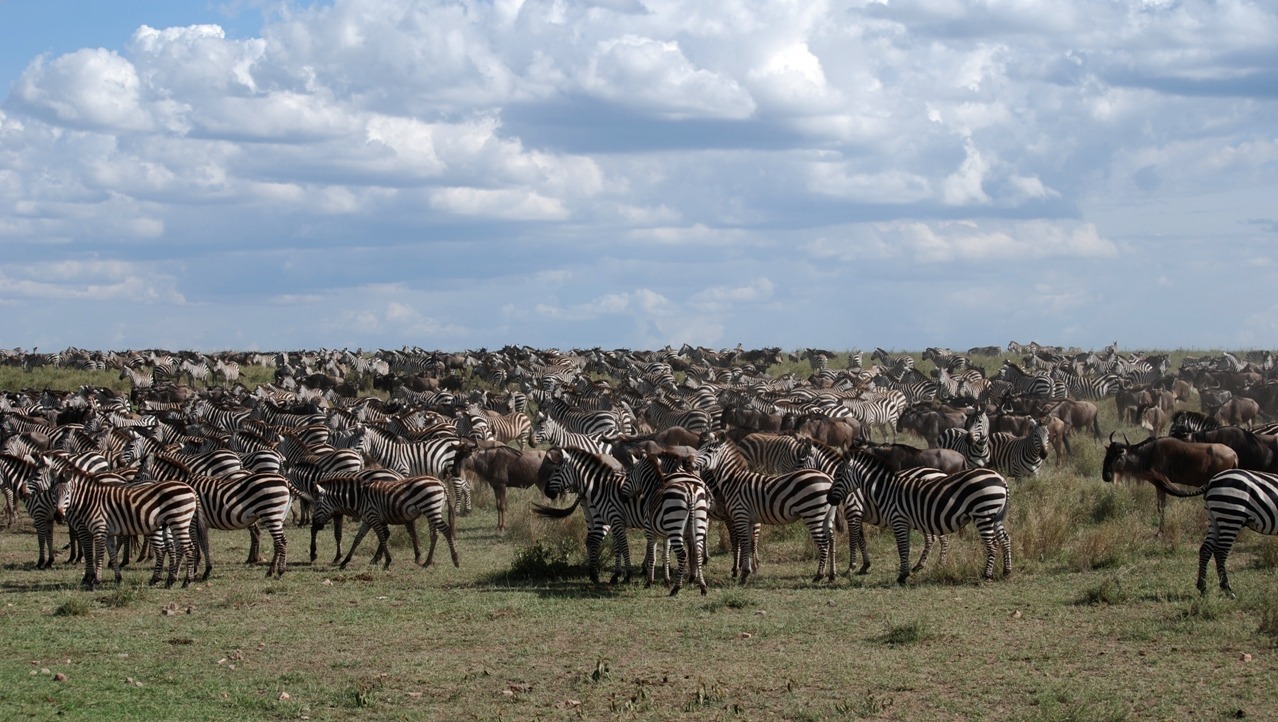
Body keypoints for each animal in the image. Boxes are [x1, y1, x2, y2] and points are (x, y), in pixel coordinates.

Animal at [52, 465, 198, 587]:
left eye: (67, 493)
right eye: (53, 493)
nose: (58, 516)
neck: (91, 501)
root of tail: (190, 488)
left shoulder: (99, 530)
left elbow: (99, 555)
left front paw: (96, 581)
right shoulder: (108, 533)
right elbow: (112, 554)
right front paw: (118, 578)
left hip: (178, 521)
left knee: (189, 548)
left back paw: (187, 581)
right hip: (174, 523)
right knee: (177, 548)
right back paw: (168, 580)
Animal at [700, 437, 838, 582]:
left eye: (709, 451)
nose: (692, 462)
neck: (734, 481)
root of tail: (829, 478)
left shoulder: (739, 515)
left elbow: (740, 541)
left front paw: (739, 572)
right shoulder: (748, 518)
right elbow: (748, 543)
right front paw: (747, 570)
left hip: (812, 513)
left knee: (824, 543)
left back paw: (819, 575)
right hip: (827, 515)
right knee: (831, 540)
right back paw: (832, 574)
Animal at [823, 454, 1012, 585]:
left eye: (838, 475)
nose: (829, 498)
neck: (886, 491)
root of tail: (1001, 479)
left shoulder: (898, 520)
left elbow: (901, 549)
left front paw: (901, 576)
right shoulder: (904, 523)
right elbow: (905, 549)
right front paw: (905, 573)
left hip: (983, 514)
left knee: (992, 544)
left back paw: (986, 575)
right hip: (996, 517)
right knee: (1005, 539)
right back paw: (1006, 571)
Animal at [1145, 467, 1278, 598]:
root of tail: (1211, 481)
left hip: (1214, 519)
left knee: (1205, 549)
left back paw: (1202, 587)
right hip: (1231, 516)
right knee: (1220, 551)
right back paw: (1227, 589)